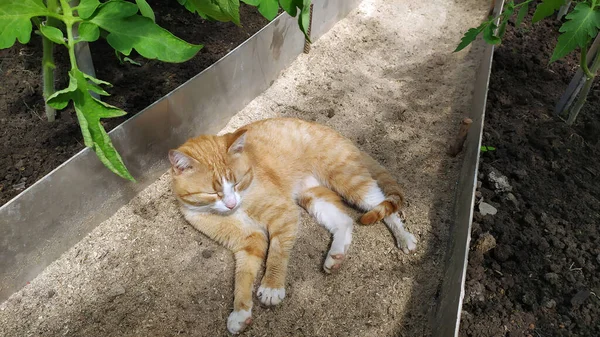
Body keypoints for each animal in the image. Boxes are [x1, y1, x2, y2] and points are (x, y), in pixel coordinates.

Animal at [166, 117, 414, 332]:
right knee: (344, 221)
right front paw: (240, 312)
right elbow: (243, 275)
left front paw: (272, 286)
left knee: (383, 204)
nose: (230, 203)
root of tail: (326, 129)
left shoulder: (283, 214)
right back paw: (335, 256)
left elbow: (277, 253)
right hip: (313, 196)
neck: (240, 206)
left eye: (237, 183)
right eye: (212, 193)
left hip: (349, 181)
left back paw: (404, 237)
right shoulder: (248, 240)